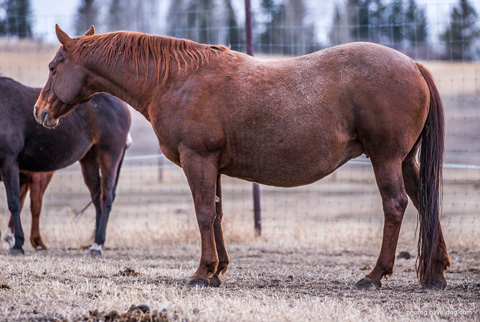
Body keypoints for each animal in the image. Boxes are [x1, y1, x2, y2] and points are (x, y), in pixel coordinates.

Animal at [0, 76, 131, 255]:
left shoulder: (9, 162)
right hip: (89, 160)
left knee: (106, 197)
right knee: (97, 198)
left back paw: (98, 244)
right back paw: (95, 243)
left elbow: (14, 203)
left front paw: (18, 244)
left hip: (109, 156)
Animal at [34, 25, 450, 290]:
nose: (40, 112)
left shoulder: (197, 159)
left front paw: (201, 274)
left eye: (53, 67)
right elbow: (216, 214)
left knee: (396, 206)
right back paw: (436, 273)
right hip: (405, 162)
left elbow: (203, 213)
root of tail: (413, 65)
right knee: (425, 201)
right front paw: (218, 270)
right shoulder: (212, 165)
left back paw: (375, 275)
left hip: (386, 159)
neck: (176, 80)